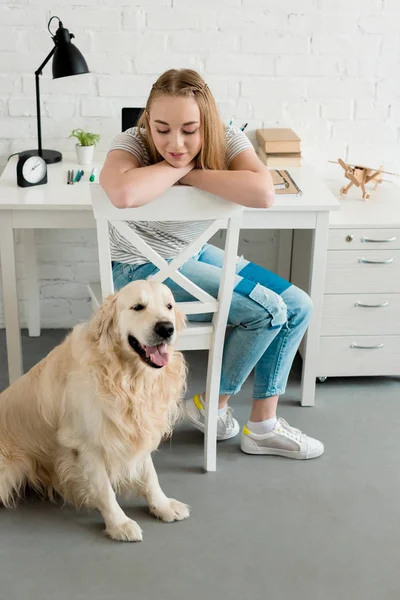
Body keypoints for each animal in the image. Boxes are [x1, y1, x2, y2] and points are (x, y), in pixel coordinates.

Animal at [0, 278, 189, 540]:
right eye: (138, 307)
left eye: (169, 306)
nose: (166, 328)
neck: (126, 377)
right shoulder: (86, 444)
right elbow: (104, 489)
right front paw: (119, 524)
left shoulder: (137, 429)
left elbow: (150, 474)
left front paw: (162, 506)